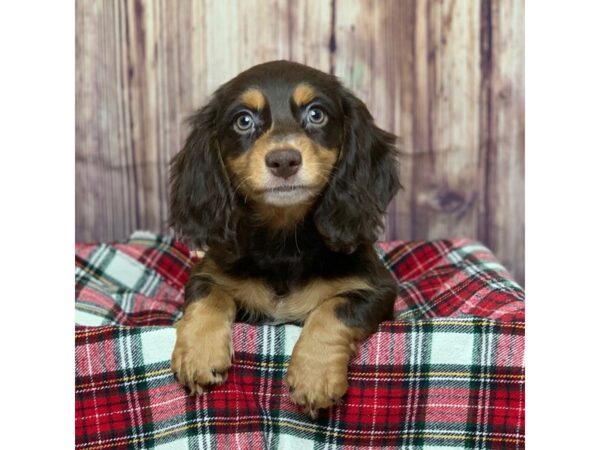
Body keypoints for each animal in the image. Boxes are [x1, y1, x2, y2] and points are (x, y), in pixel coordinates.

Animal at [168, 59, 398, 418]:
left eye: (316, 114)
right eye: (244, 120)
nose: (284, 160)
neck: (284, 244)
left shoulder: (378, 290)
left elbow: (334, 308)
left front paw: (314, 376)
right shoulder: (207, 273)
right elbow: (209, 295)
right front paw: (198, 354)